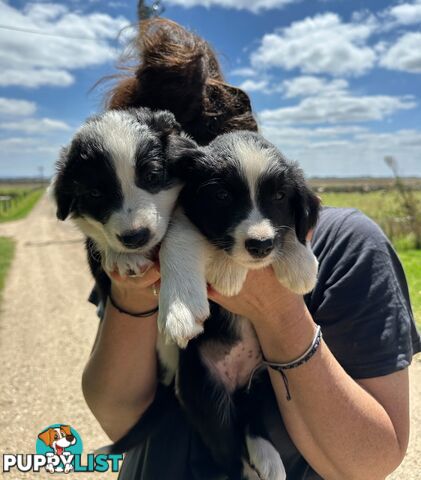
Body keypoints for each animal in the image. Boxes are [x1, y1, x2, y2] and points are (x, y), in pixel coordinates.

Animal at [157, 129, 318, 478]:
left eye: (280, 196)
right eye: (222, 196)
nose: (260, 245)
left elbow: (290, 230)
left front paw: (301, 263)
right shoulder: (182, 215)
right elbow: (183, 236)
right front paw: (212, 281)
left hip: (265, 382)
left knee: (250, 419)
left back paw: (268, 457)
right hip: (205, 396)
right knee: (228, 455)